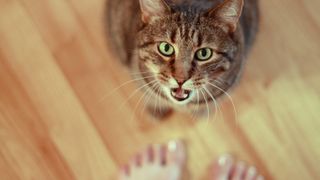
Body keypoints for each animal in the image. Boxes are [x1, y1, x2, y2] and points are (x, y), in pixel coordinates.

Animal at [106, 0, 258, 119]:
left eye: (204, 53)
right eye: (165, 48)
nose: (180, 79)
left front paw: (201, 112)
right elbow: (149, 94)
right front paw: (155, 108)